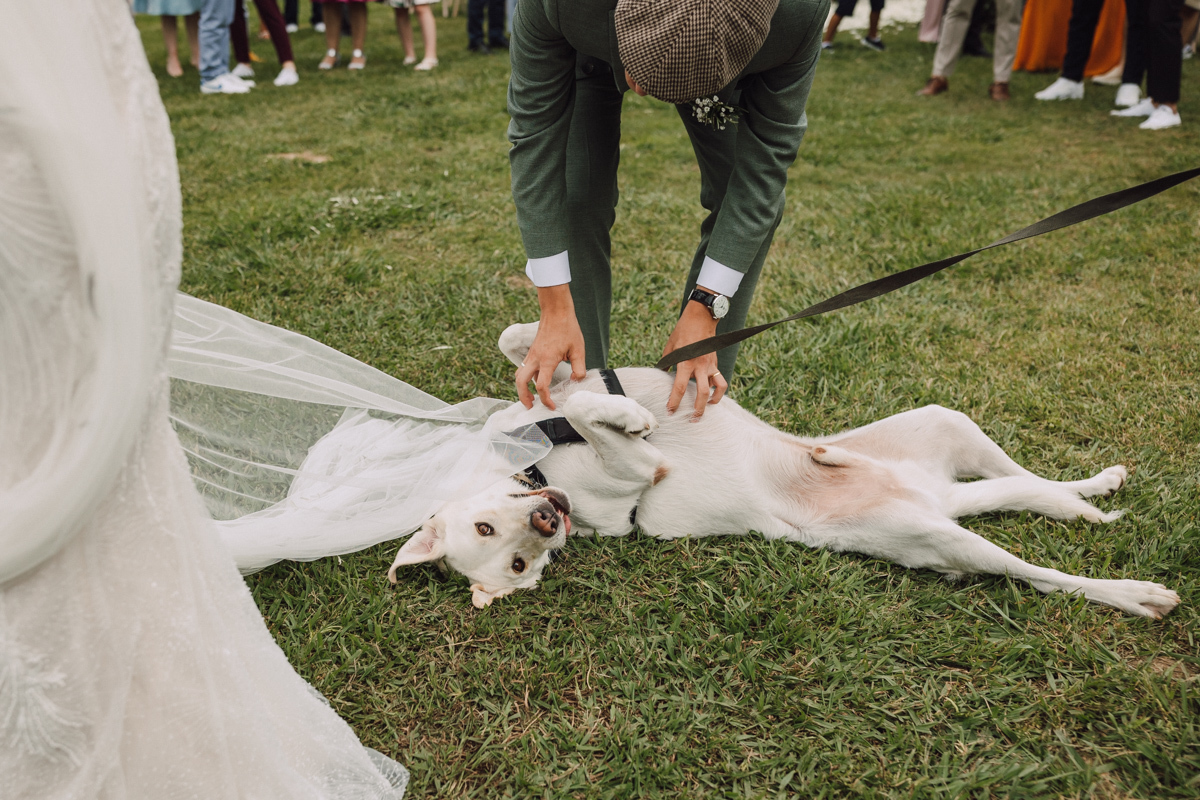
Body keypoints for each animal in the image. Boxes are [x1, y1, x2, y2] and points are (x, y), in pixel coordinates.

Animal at [387, 322, 1180, 618]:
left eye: (489, 529)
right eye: (517, 564)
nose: (549, 519)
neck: (537, 458)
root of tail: (934, 500)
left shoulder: (567, 389)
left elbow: (535, 358)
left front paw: (584, 383)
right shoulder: (636, 475)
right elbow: (597, 419)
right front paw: (622, 418)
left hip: (944, 424)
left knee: (1026, 485)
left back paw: (1093, 494)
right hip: (935, 535)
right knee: (1036, 571)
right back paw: (1135, 592)